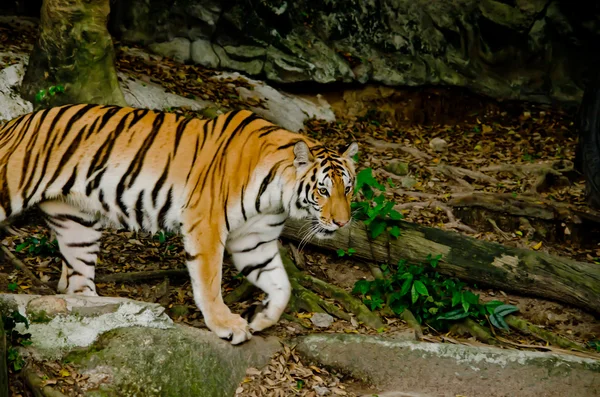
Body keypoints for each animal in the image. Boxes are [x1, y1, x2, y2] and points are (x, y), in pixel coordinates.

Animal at [0, 104, 356, 344]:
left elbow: (282, 286)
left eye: (348, 188)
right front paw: (226, 325)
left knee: (77, 283)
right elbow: (209, 281)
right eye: (323, 190)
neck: (276, 196)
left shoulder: (255, 240)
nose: (342, 222)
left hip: (77, 222)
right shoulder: (207, 225)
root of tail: (14, 122)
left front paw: (261, 317)